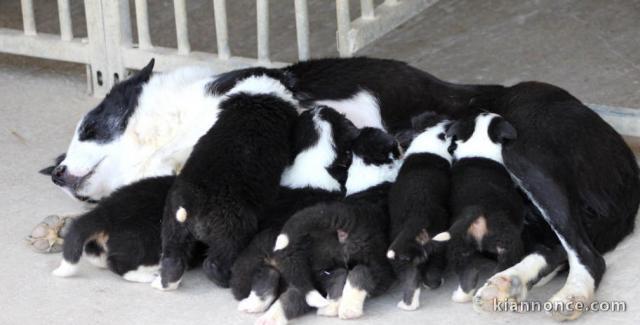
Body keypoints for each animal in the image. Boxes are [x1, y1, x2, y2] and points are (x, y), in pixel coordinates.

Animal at [153, 75, 300, 288]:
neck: (256, 98)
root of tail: (188, 206)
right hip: (233, 229)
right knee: (215, 262)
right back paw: (226, 281)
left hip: (173, 226)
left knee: (172, 258)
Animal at [256, 128, 400, 322]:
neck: (366, 168)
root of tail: (348, 214)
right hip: (377, 261)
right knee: (362, 274)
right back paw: (348, 308)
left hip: (320, 262)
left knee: (302, 292)